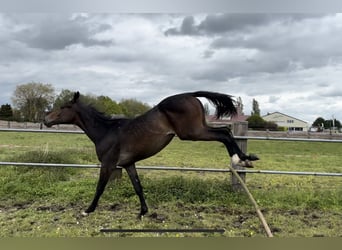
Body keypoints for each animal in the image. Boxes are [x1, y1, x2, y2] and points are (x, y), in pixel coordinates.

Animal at [44, 91, 260, 218]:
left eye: (64, 107)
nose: (46, 119)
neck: (106, 131)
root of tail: (188, 94)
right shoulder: (128, 164)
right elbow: (138, 187)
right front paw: (143, 212)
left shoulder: (108, 164)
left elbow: (100, 188)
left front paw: (87, 210)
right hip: (199, 129)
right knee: (225, 131)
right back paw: (246, 159)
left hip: (192, 133)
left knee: (224, 134)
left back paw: (240, 159)